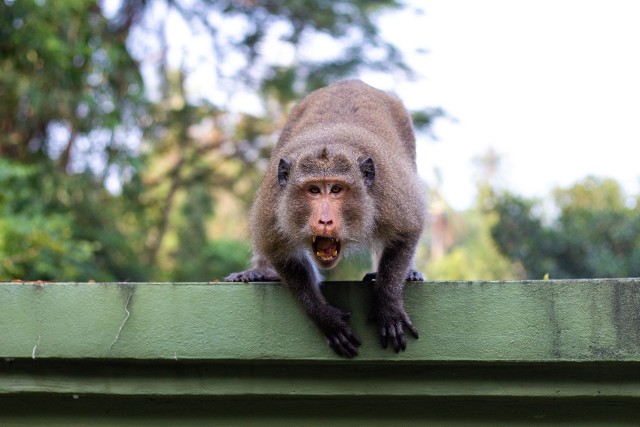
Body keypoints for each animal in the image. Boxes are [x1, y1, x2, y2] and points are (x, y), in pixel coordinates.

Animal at [228, 80, 428, 358]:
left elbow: (406, 231)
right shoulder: (272, 202)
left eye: (336, 189)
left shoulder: (390, 192)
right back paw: (261, 272)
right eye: (313, 190)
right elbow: (280, 252)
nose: (324, 220)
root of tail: (351, 81)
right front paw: (324, 316)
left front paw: (387, 303)